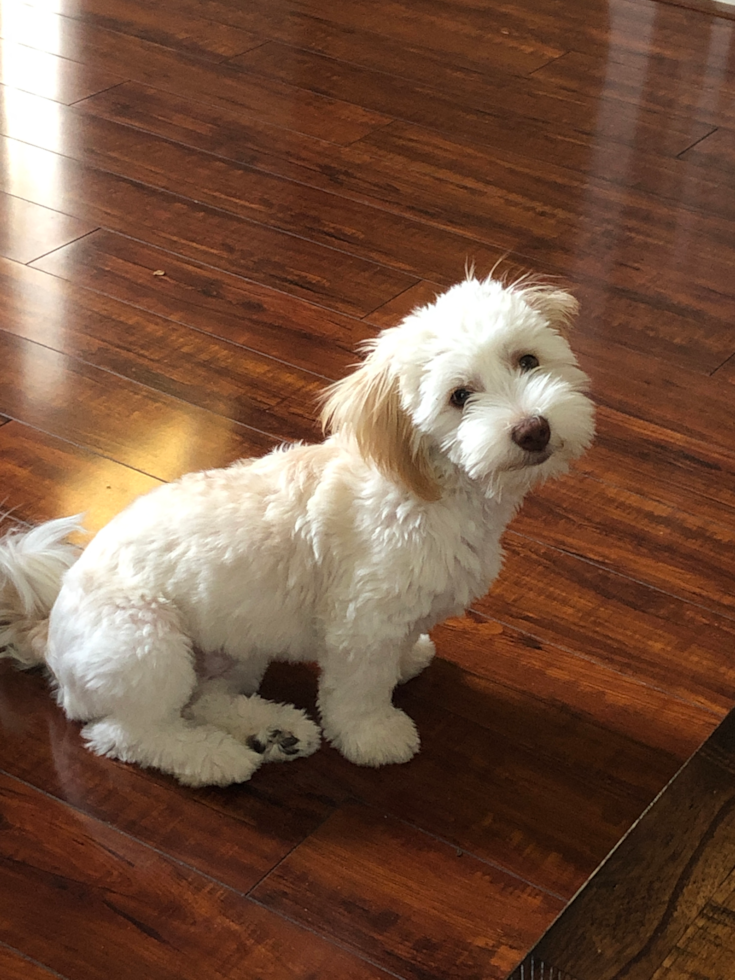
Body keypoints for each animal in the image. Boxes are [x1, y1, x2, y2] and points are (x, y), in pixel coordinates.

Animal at [0, 276, 596, 788]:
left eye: (527, 360)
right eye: (460, 397)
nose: (533, 429)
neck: (427, 489)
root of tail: (46, 630)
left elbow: (398, 649)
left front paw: (407, 661)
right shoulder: (362, 623)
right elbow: (359, 692)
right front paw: (375, 736)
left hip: (232, 649)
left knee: (206, 697)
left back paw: (273, 731)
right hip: (145, 644)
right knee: (129, 733)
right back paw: (215, 759)